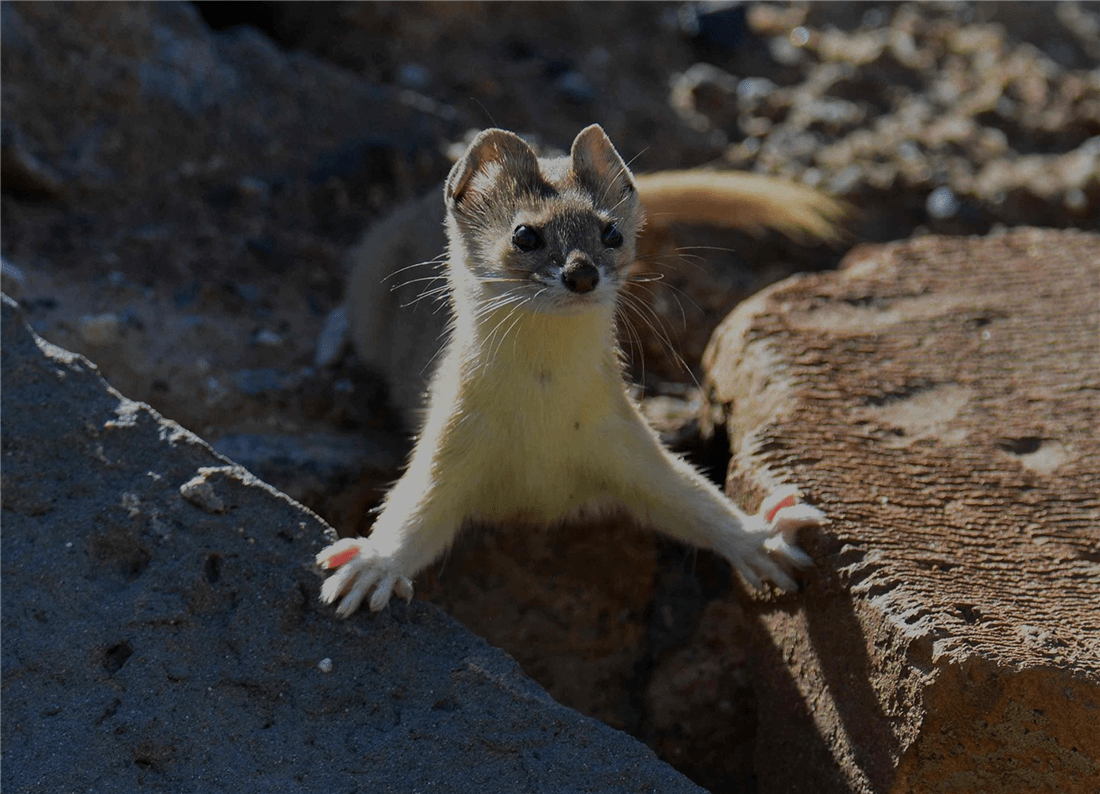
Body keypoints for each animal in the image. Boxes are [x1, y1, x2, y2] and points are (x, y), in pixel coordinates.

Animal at [314, 125, 822, 611]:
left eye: (611, 231)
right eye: (525, 234)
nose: (582, 273)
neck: (543, 410)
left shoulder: (619, 434)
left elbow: (685, 495)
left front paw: (763, 540)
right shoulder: (452, 435)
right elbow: (416, 510)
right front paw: (370, 566)